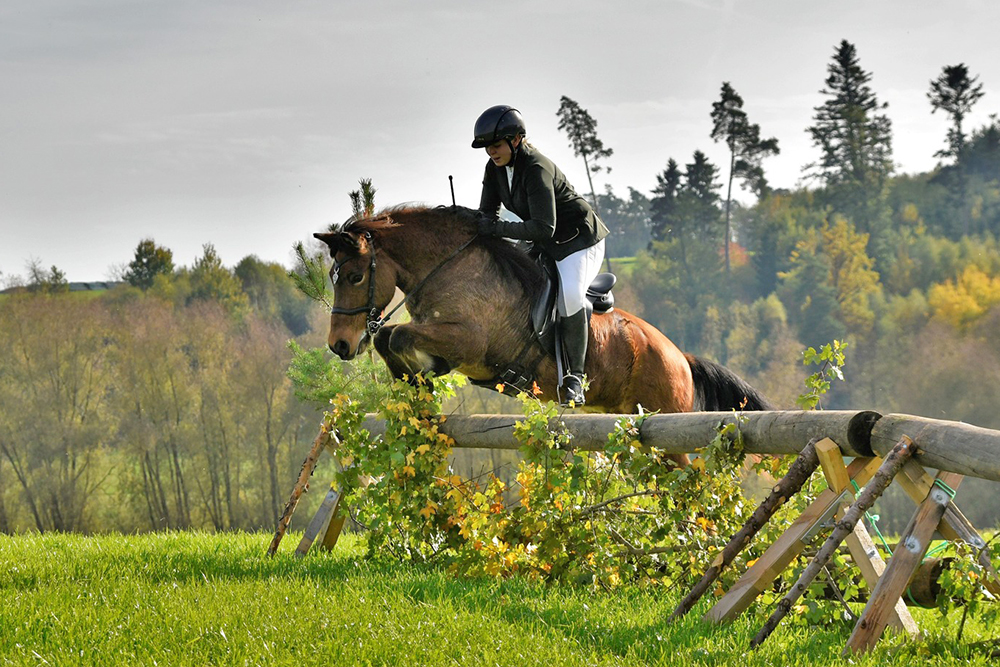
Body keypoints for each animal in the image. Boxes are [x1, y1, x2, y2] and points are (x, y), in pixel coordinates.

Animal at [314, 206, 772, 468]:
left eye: (354, 277)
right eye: (334, 276)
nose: (339, 346)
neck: (446, 267)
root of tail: (681, 358)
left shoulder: (466, 342)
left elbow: (395, 337)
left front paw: (421, 376)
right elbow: (390, 338)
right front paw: (418, 386)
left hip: (668, 427)